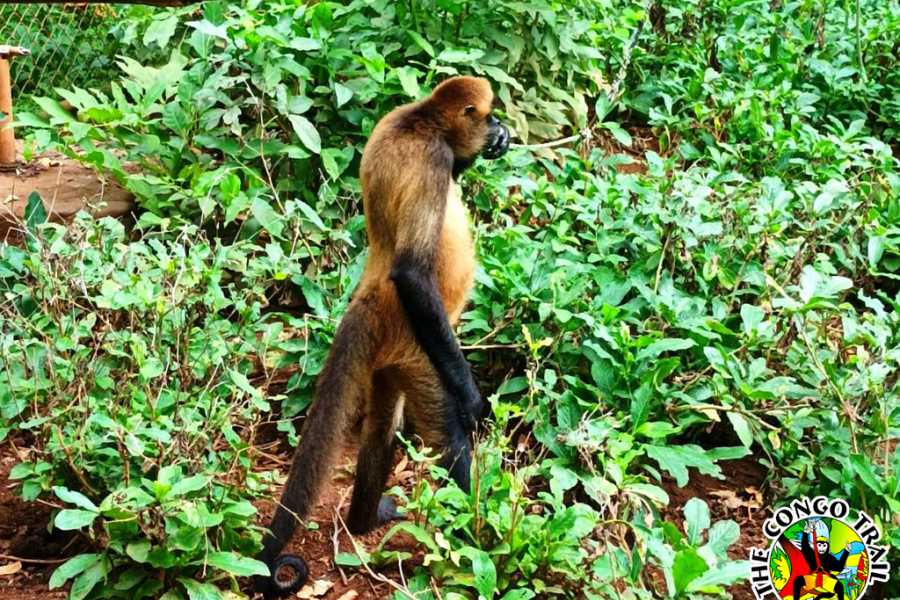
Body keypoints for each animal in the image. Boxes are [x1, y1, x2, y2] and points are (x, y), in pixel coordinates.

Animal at [254, 76, 510, 597]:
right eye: (490, 115)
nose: (500, 127)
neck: (420, 117)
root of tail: (372, 294)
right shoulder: (435, 158)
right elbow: (412, 272)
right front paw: (474, 402)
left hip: (393, 360)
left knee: (381, 430)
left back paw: (363, 519)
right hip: (422, 349)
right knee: (449, 436)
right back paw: (473, 537)